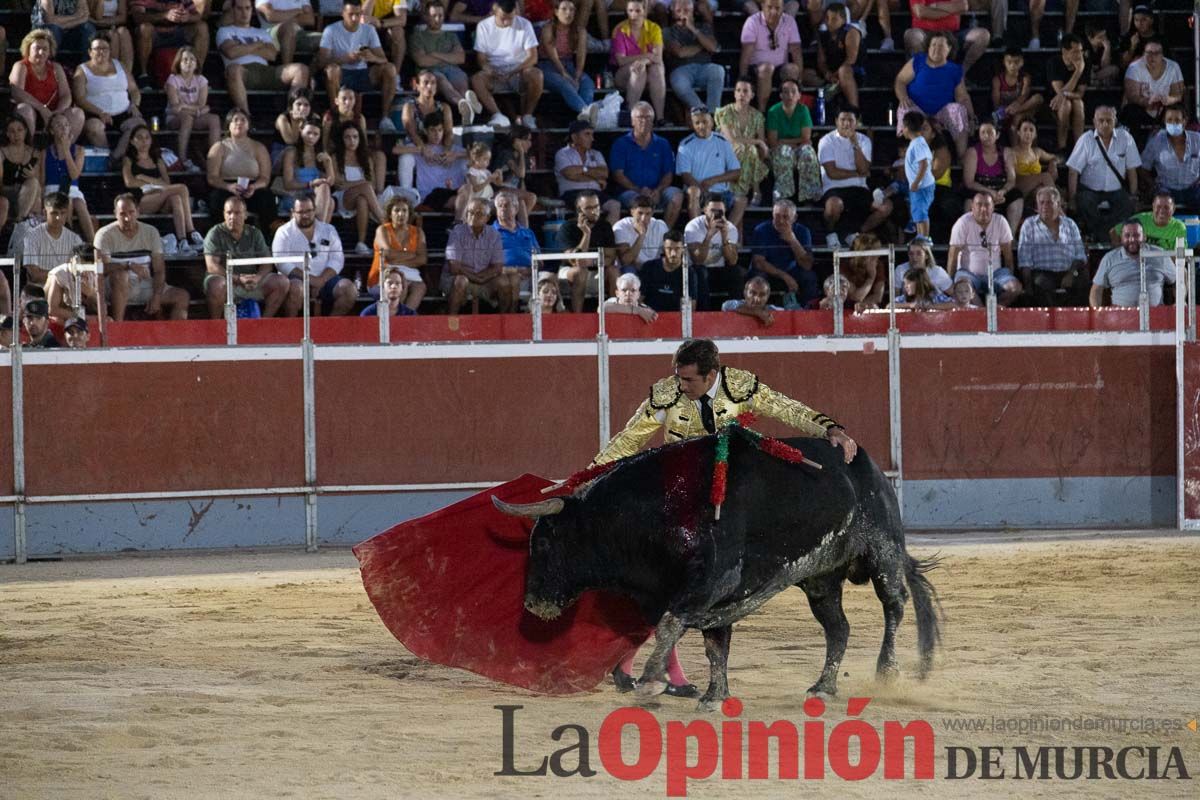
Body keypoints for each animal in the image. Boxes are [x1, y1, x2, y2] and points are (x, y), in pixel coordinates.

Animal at [492, 429, 940, 710]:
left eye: (544, 542)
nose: (533, 603)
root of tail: (871, 467)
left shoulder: (709, 583)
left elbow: (672, 625)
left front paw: (652, 681)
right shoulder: (713, 598)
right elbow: (714, 645)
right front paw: (714, 696)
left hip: (882, 550)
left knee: (894, 605)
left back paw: (886, 672)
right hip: (820, 579)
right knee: (838, 628)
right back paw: (823, 687)